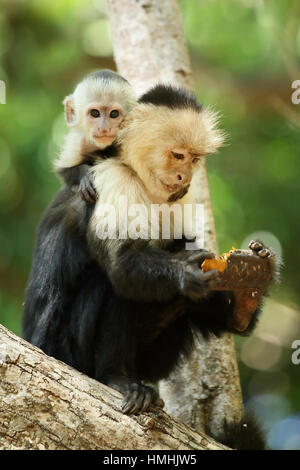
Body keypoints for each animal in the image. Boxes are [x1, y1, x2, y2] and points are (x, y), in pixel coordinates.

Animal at [22, 85, 272, 452]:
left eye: (195, 159)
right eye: (178, 156)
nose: (185, 177)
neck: (137, 175)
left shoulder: (179, 200)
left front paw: (242, 288)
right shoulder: (111, 179)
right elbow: (123, 263)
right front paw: (187, 272)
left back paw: (243, 303)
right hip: (66, 352)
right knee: (111, 285)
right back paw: (117, 378)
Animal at [54, 70, 137, 203]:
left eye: (114, 114)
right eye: (95, 113)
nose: (104, 128)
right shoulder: (77, 140)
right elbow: (65, 171)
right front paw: (84, 176)